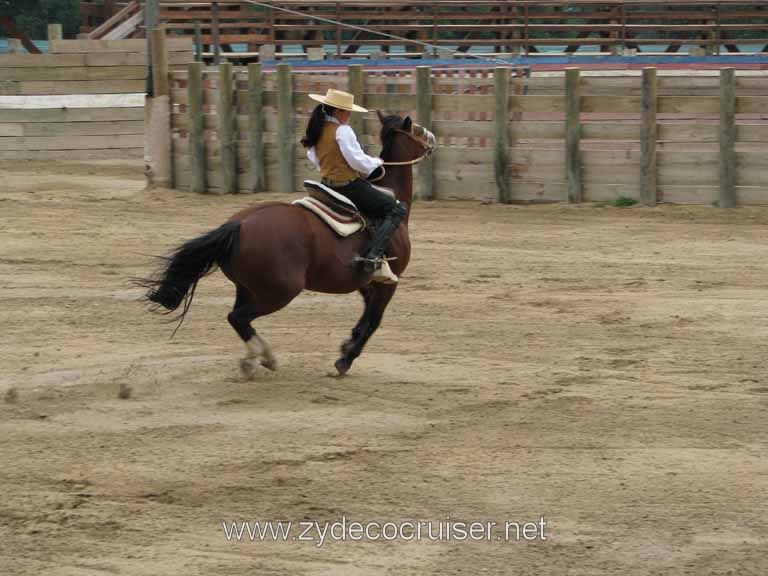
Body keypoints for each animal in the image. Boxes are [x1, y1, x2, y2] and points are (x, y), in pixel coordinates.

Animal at [137, 110, 436, 376]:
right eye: (416, 128)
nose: (431, 137)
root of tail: (239, 225)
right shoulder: (388, 282)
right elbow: (374, 320)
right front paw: (345, 359)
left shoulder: (366, 282)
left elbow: (364, 319)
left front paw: (347, 345)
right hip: (279, 292)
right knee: (238, 317)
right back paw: (261, 357)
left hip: (248, 288)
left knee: (238, 318)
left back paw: (259, 358)